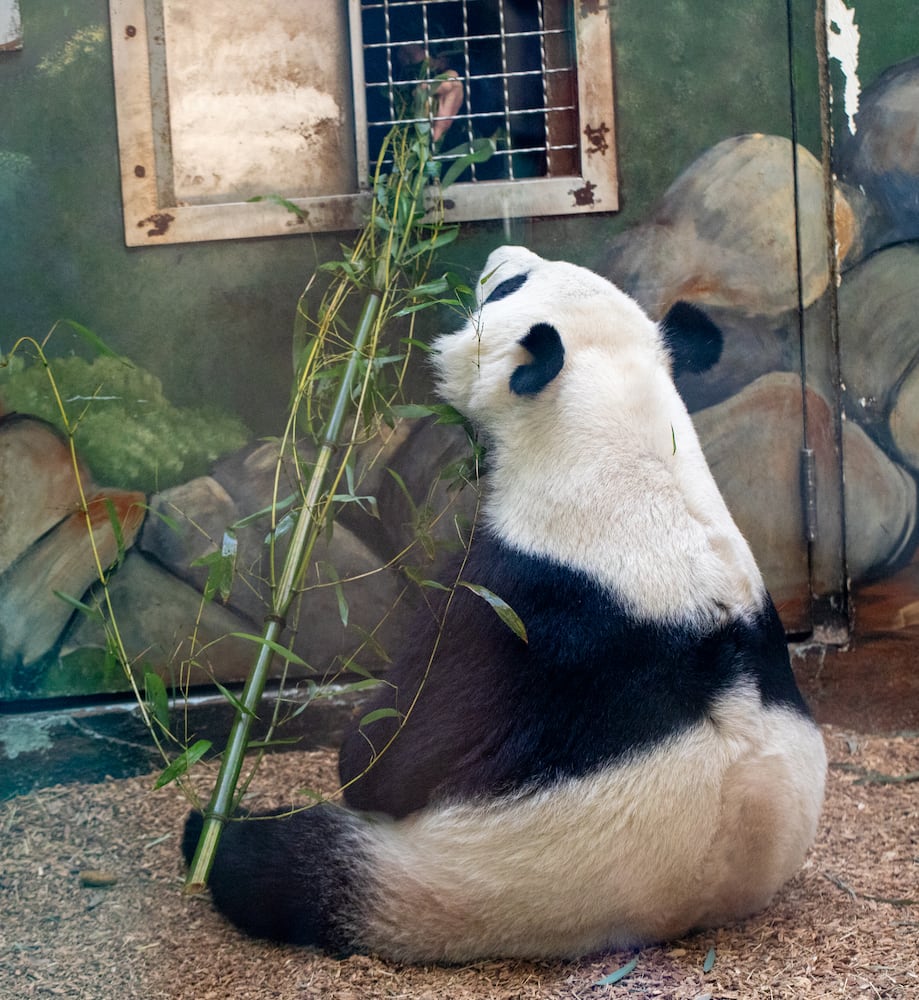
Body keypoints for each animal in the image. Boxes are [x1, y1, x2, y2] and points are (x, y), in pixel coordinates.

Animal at [183, 246, 832, 964]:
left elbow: (395, 750)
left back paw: (209, 837)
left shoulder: (514, 598)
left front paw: (364, 751)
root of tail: (687, 915)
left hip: (448, 877)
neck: (616, 431)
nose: (501, 254)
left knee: (289, 867)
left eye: (510, 287)